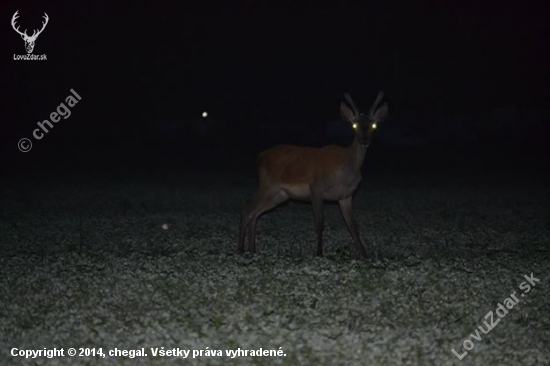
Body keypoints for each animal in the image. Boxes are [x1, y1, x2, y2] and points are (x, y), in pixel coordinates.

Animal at [237, 92, 388, 258]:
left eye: (374, 125)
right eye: (354, 125)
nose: (364, 141)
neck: (346, 173)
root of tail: (259, 157)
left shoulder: (346, 196)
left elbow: (352, 225)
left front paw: (364, 254)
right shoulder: (316, 186)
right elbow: (319, 222)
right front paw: (319, 252)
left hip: (280, 195)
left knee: (255, 213)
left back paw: (252, 249)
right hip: (267, 185)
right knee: (247, 210)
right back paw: (240, 249)